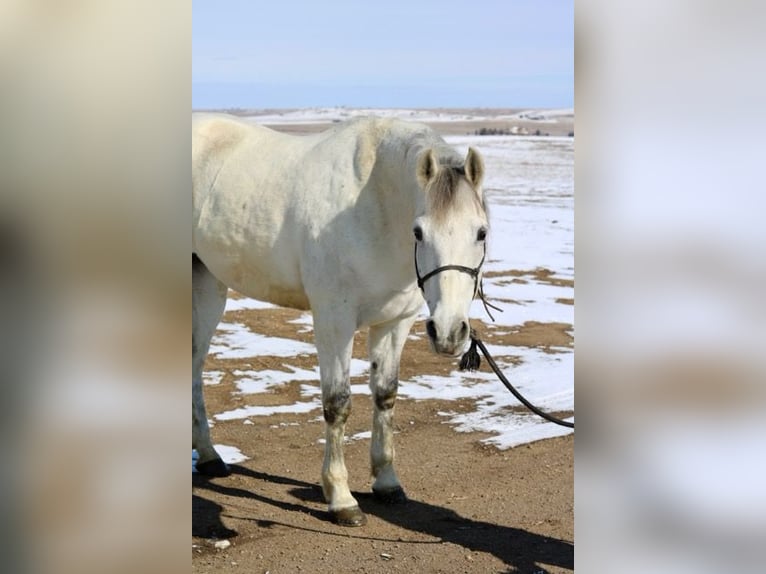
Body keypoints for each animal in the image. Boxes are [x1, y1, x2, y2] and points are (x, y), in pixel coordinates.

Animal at [195, 115, 488, 528]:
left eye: (481, 232)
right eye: (419, 232)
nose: (449, 331)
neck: (374, 204)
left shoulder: (394, 323)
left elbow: (385, 396)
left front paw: (387, 482)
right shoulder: (334, 320)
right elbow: (337, 404)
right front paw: (341, 498)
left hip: (209, 283)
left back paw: (208, 457)